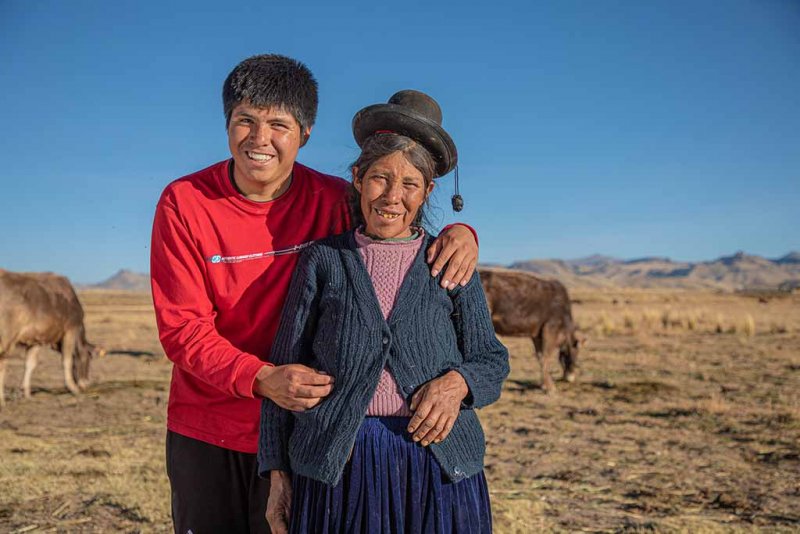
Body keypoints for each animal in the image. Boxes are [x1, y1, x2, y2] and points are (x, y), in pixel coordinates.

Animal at [0, 270, 101, 408]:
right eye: (88, 359)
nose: (87, 384)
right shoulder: (70, 330)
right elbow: (67, 360)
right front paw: (73, 388)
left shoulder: (36, 340)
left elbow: (30, 364)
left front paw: (26, 393)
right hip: (7, 338)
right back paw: (2, 400)